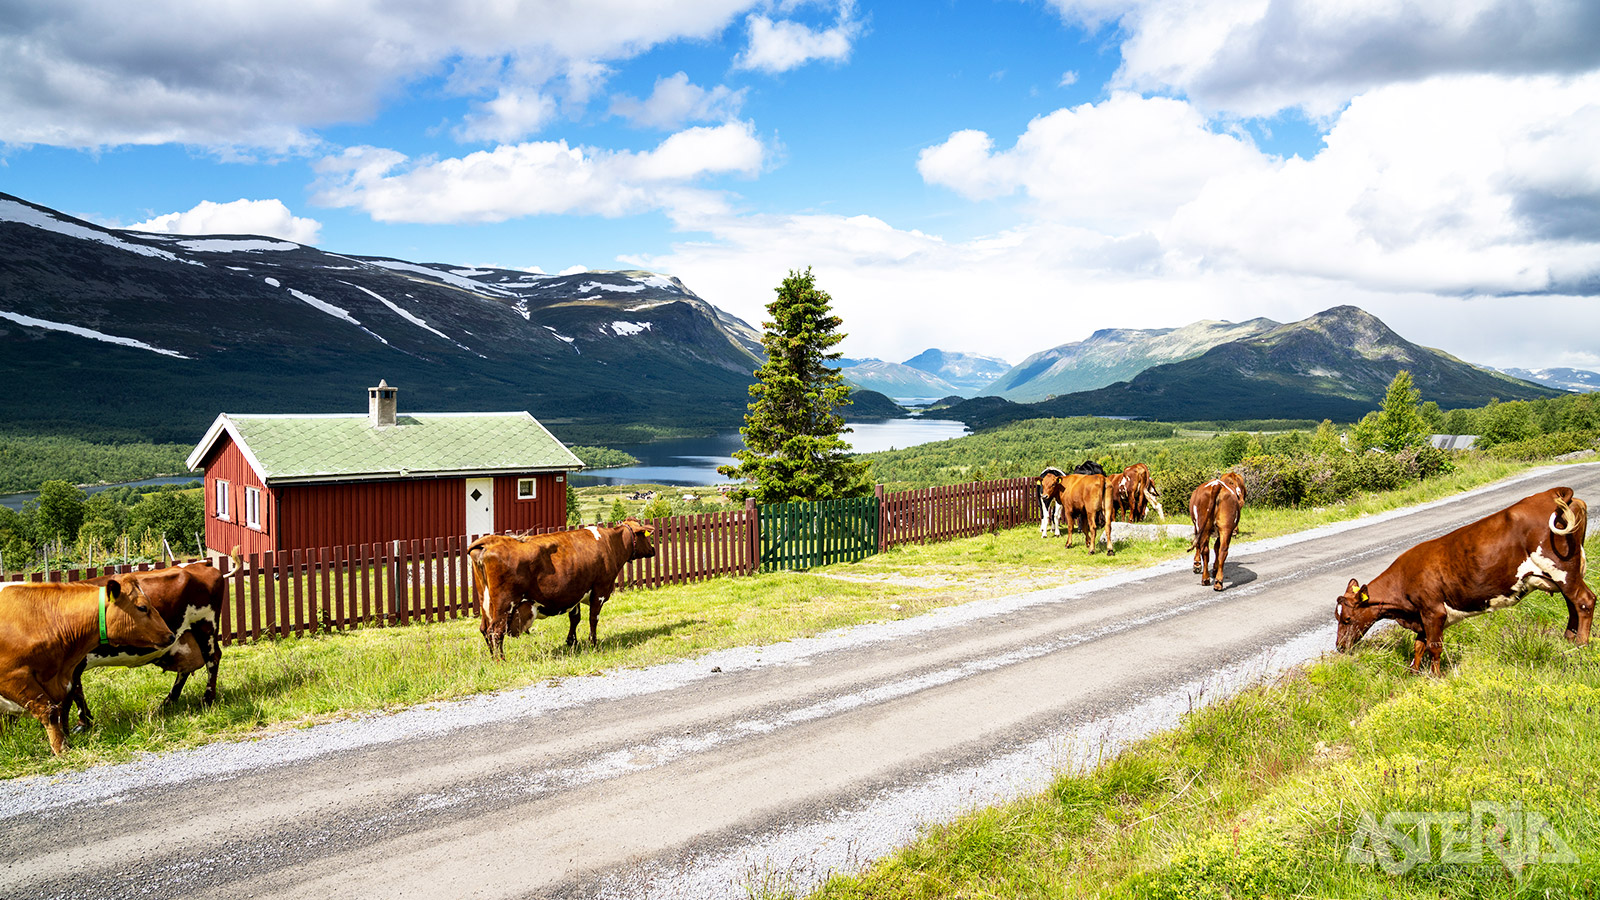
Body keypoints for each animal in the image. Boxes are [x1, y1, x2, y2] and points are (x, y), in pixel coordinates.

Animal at [75, 547, 238, 730]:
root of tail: (203, 563)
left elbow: (74, 693)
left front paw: (82, 723)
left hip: (205, 625)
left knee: (212, 658)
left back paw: (207, 699)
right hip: (185, 637)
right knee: (187, 666)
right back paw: (168, 702)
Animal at [467, 515, 656, 656]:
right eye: (645, 536)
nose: (653, 549)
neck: (611, 543)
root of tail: (492, 540)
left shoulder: (575, 591)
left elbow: (575, 618)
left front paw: (572, 642)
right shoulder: (600, 590)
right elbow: (593, 619)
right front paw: (593, 644)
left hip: (485, 602)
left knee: (484, 629)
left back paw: (492, 658)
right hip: (504, 604)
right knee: (496, 631)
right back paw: (501, 661)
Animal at [1337, 483, 1587, 672]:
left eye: (1347, 619)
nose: (1339, 647)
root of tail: (1551, 493)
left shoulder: (1433, 610)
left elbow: (1433, 647)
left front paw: (1436, 677)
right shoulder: (1421, 616)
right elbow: (1419, 646)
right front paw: (1414, 674)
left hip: (1562, 569)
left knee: (1584, 602)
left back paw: (1581, 645)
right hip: (1563, 575)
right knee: (1572, 605)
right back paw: (1568, 639)